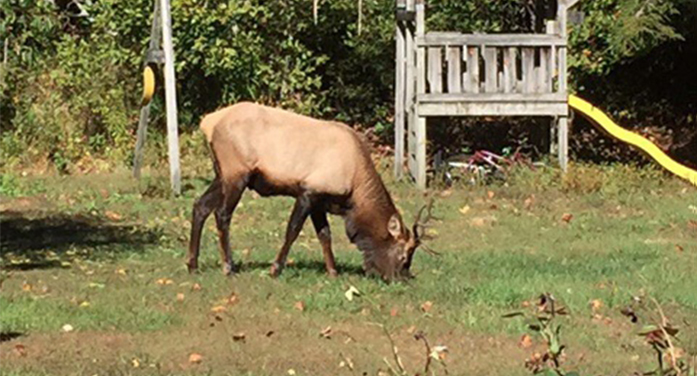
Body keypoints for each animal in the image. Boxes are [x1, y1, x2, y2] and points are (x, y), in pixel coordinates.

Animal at [188, 101, 432, 280]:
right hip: (236, 173)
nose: (402, 278)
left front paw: (333, 272)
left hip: (222, 174)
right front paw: (275, 269)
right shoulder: (308, 192)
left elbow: (325, 235)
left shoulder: (320, 201)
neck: (353, 193)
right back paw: (228, 267)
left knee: (200, 206)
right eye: (404, 255)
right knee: (222, 214)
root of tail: (208, 122)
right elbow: (293, 230)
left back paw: (192, 264)